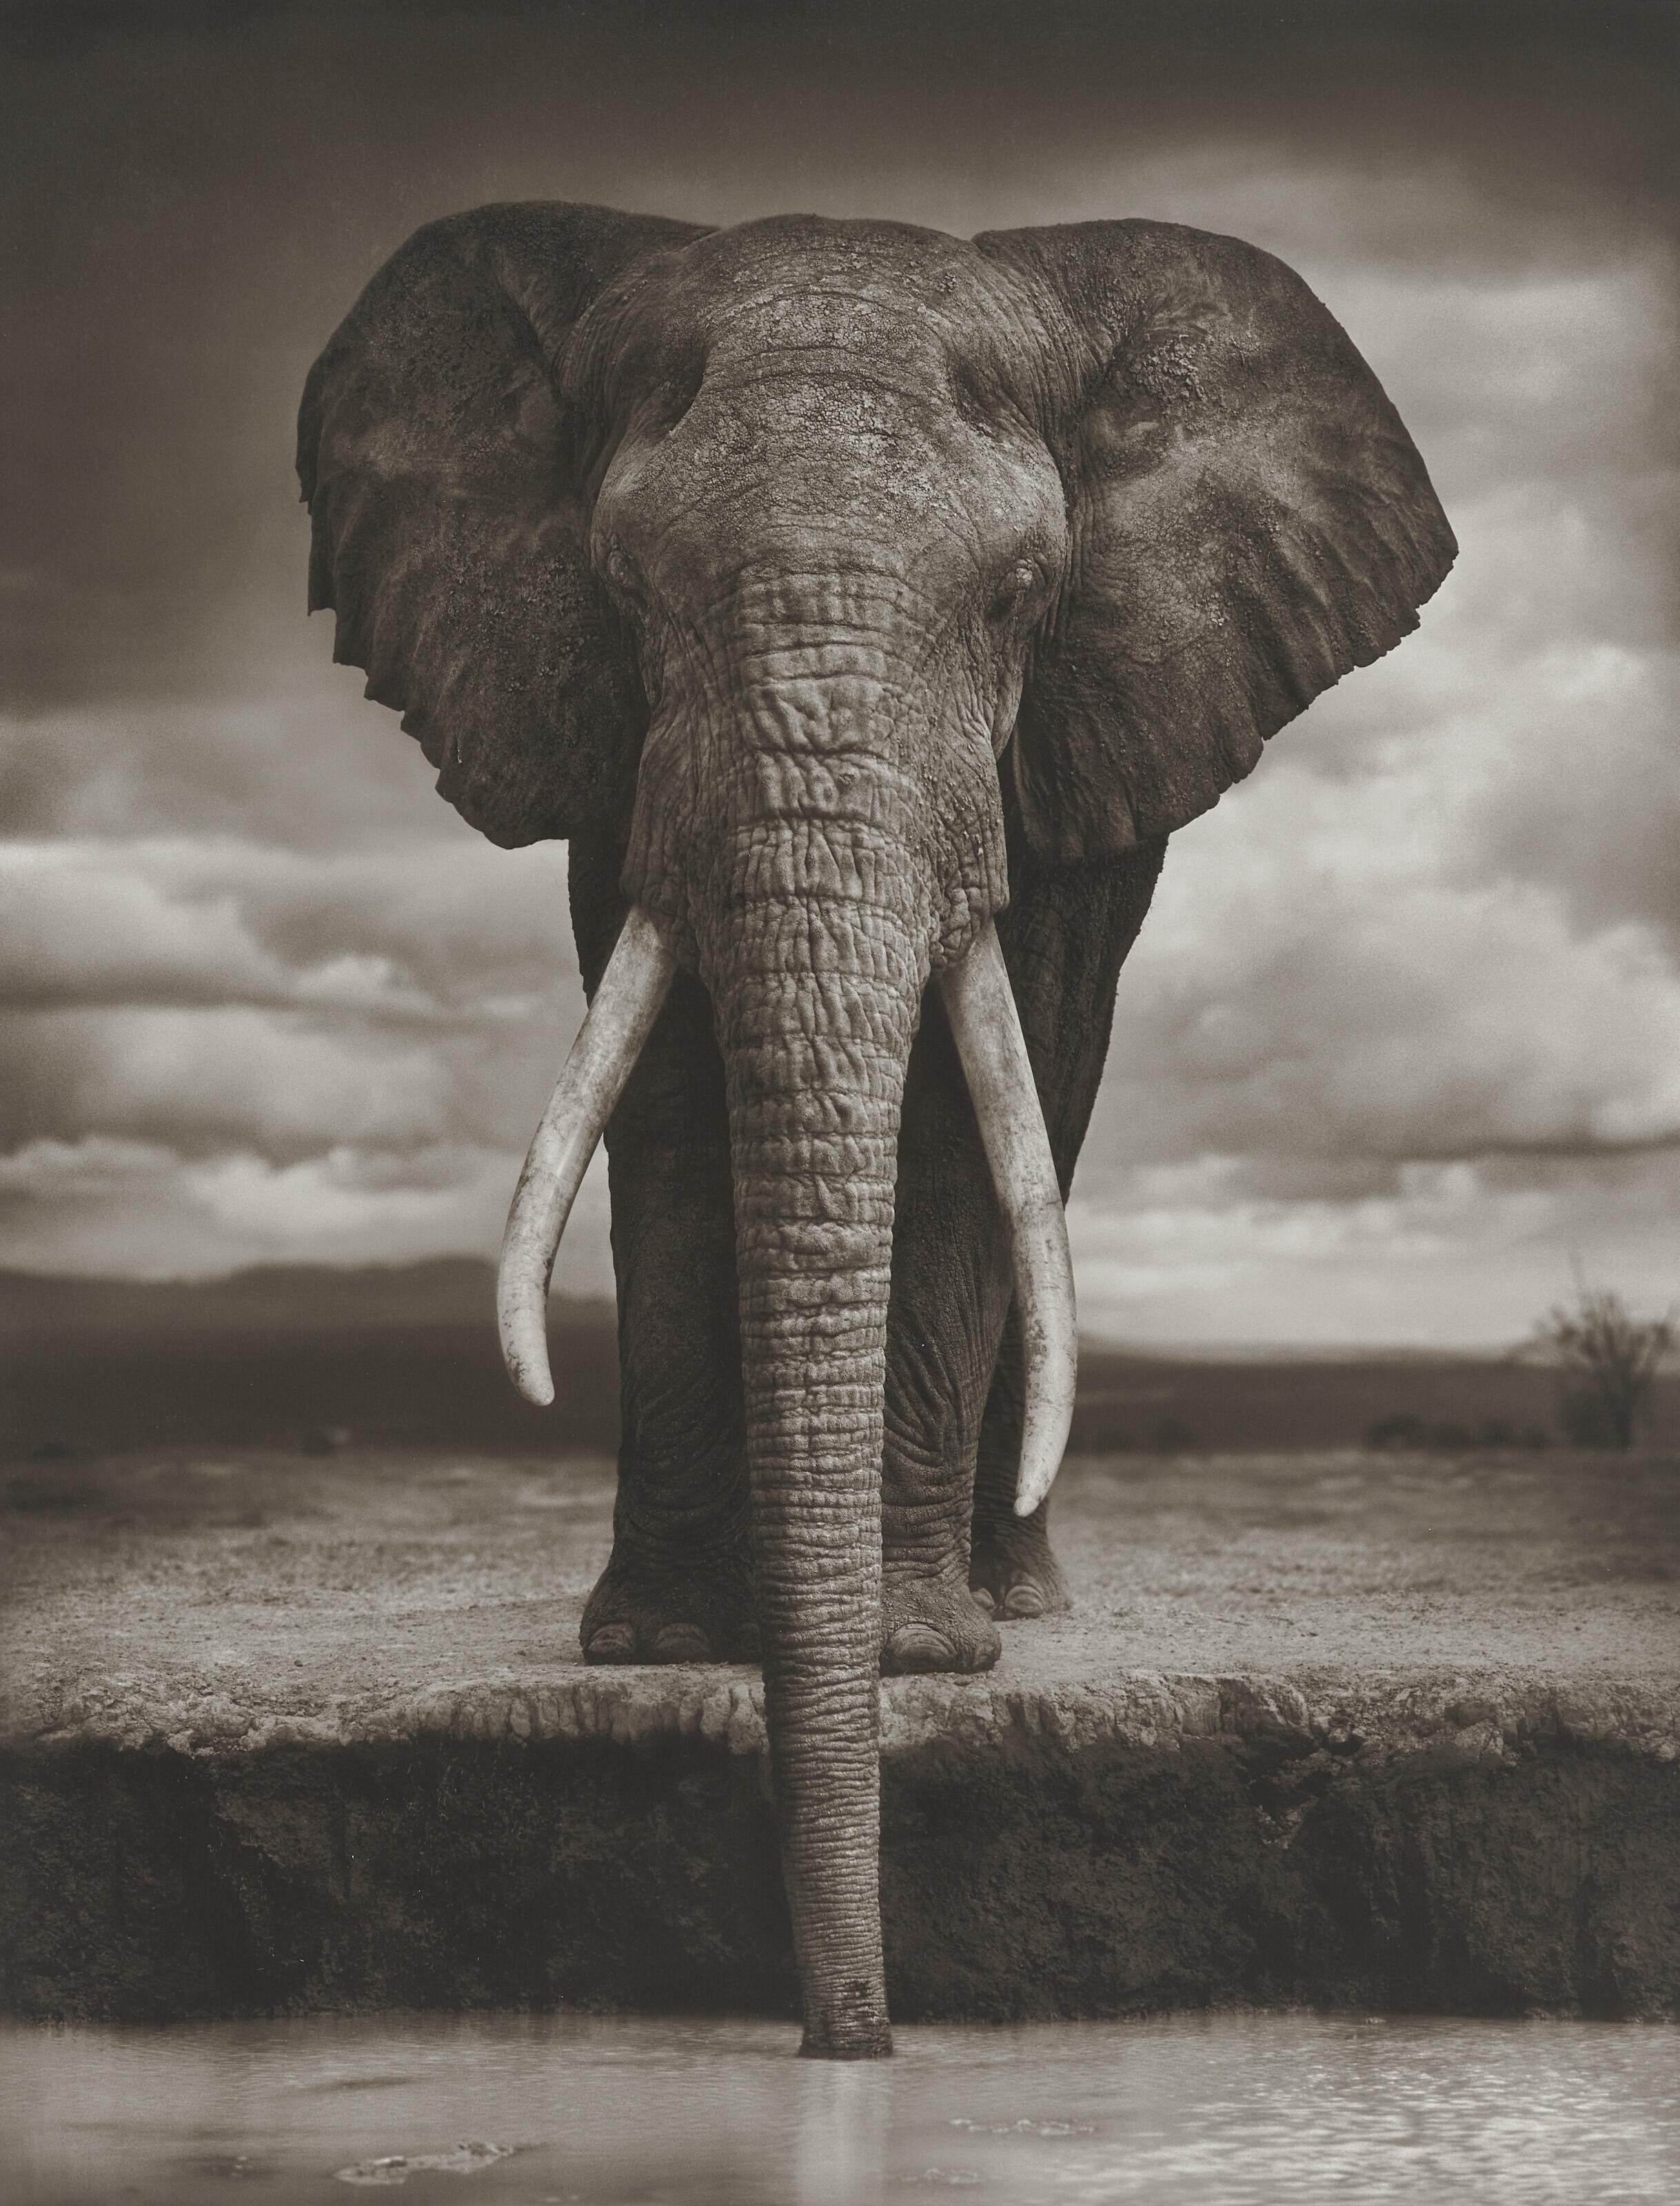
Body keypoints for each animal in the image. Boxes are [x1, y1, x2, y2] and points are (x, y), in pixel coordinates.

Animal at [297, 202, 1453, 2056]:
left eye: (1022, 596)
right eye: (625, 590)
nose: (855, 2037)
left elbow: (976, 1126)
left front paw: (918, 1656)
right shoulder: (615, 751)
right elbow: (671, 1099)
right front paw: (661, 1645)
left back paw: (1014, 1600)